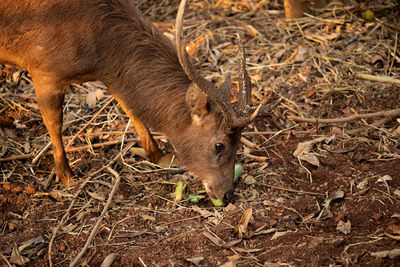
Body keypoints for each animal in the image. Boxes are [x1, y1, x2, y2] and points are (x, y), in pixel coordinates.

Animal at [0, 0, 260, 204]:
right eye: (219, 145)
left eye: (239, 143)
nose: (227, 195)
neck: (99, 50)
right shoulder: (43, 70)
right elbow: (54, 123)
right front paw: (66, 176)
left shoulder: (112, 75)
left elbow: (132, 109)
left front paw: (159, 156)